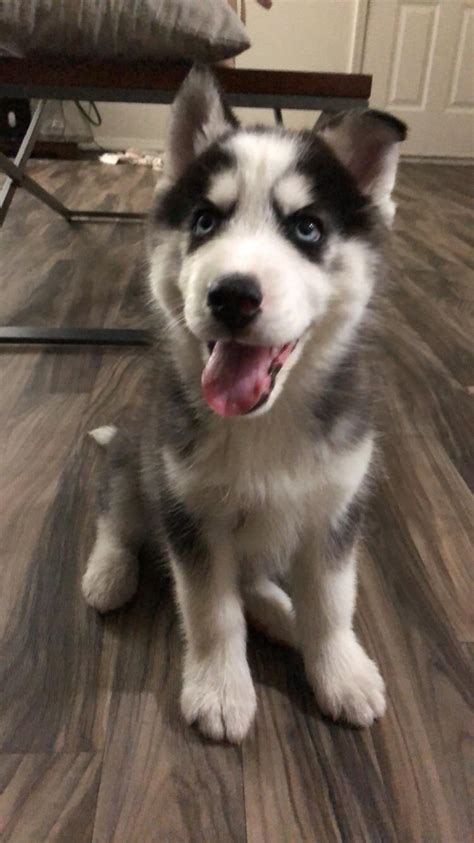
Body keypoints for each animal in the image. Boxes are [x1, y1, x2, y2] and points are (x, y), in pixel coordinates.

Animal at [83, 67, 406, 744]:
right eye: (205, 221)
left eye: (308, 228)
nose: (231, 295)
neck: (264, 425)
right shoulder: (188, 511)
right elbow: (212, 609)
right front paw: (220, 688)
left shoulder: (336, 509)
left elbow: (331, 603)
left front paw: (340, 669)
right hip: (138, 458)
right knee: (118, 518)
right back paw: (109, 574)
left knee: (255, 577)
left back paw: (282, 614)